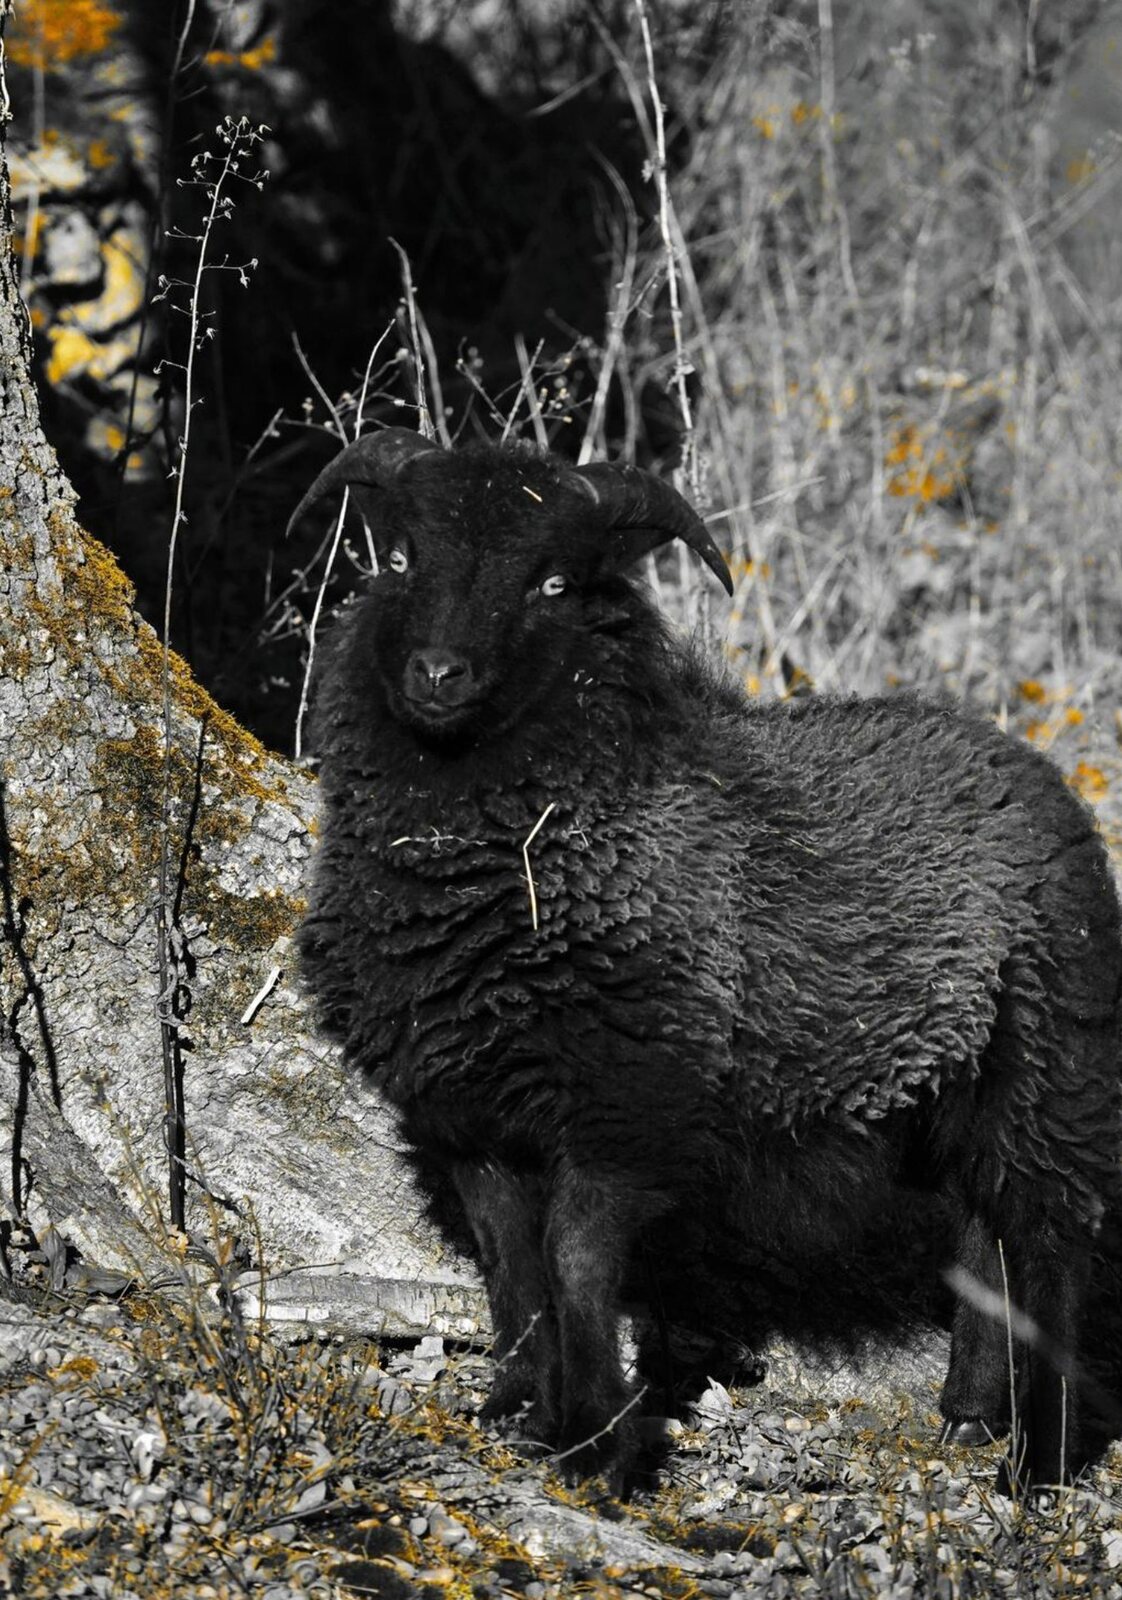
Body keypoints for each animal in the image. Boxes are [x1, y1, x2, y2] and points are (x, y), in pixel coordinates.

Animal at [292, 427, 1121, 1490]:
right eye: (397, 560)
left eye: (553, 582)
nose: (440, 674)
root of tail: (1026, 763)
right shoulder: (470, 1116)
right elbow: (511, 1265)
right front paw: (520, 1404)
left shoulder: (628, 1103)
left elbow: (574, 1257)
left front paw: (597, 1439)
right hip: (942, 1091)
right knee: (985, 1237)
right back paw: (972, 1416)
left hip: (1052, 1059)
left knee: (1051, 1241)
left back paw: (1040, 1460)